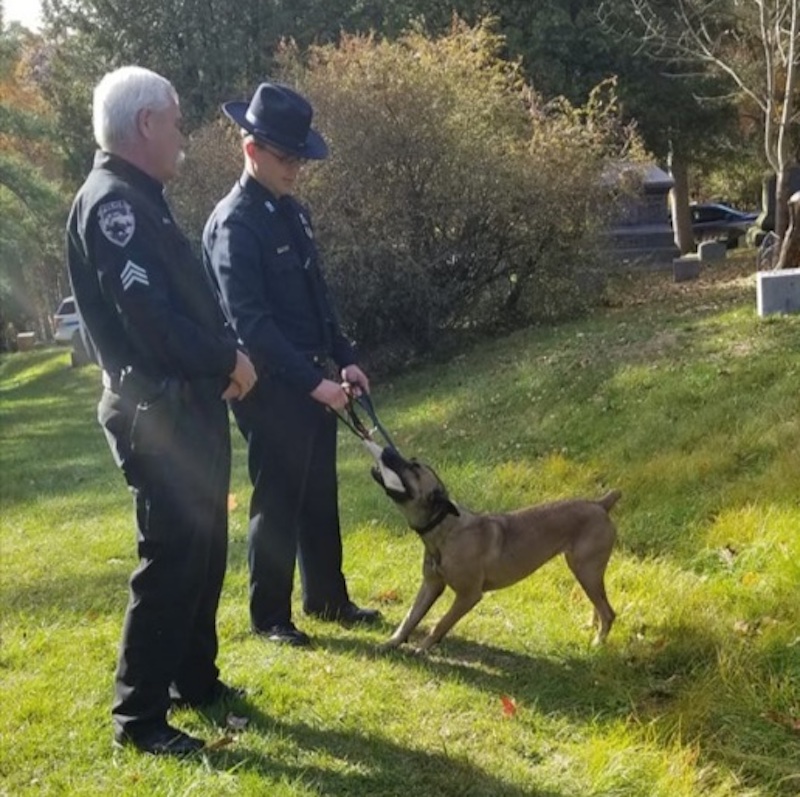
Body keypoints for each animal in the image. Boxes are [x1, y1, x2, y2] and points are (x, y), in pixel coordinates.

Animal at [368, 444, 620, 648]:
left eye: (414, 467)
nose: (387, 449)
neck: (445, 529)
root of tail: (600, 504)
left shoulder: (468, 595)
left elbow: (441, 622)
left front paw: (424, 647)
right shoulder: (430, 585)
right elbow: (410, 617)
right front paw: (392, 642)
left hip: (586, 570)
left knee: (608, 612)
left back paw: (598, 642)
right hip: (585, 572)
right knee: (598, 606)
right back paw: (592, 629)